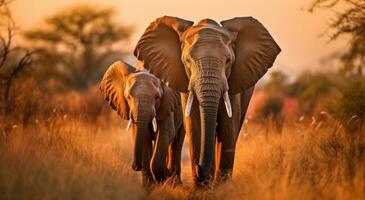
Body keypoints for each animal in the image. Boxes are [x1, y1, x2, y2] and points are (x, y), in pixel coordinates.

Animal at [134, 16, 278, 186]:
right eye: (187, 60)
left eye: (228, 60)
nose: (198, 167)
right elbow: (194, 124)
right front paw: (202, 186)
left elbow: (228, 127)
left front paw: (221, 187)